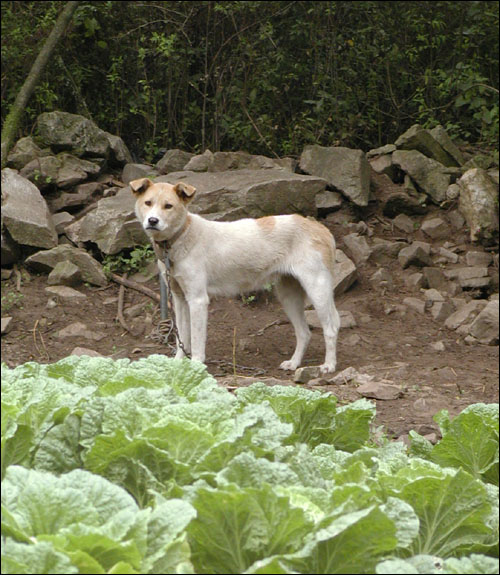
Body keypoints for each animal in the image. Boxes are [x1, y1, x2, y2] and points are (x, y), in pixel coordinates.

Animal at [130, 178, 340, 374]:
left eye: (168, 206)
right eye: (148, 203)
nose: (152, 221)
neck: (179, 237)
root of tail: (319, 227)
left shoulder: (198, 300)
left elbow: (196, 341)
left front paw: (196, 366)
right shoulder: (180, 299)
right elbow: (182, 337)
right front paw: (177, 364)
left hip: (317, 290)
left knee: (330, 329)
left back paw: (329, 365)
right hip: (289, 296)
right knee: (304, 333)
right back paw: (294, 363)